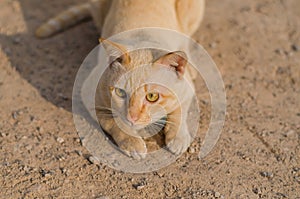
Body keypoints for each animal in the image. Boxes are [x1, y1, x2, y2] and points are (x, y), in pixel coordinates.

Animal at [35, 0, 204, 159]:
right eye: (120, 93)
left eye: (152, 96)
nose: (132, 117)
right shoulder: (88, 95)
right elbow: (113, 121)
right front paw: (133, 143)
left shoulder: (187, 89)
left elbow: (179, 111)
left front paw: (178, 138)